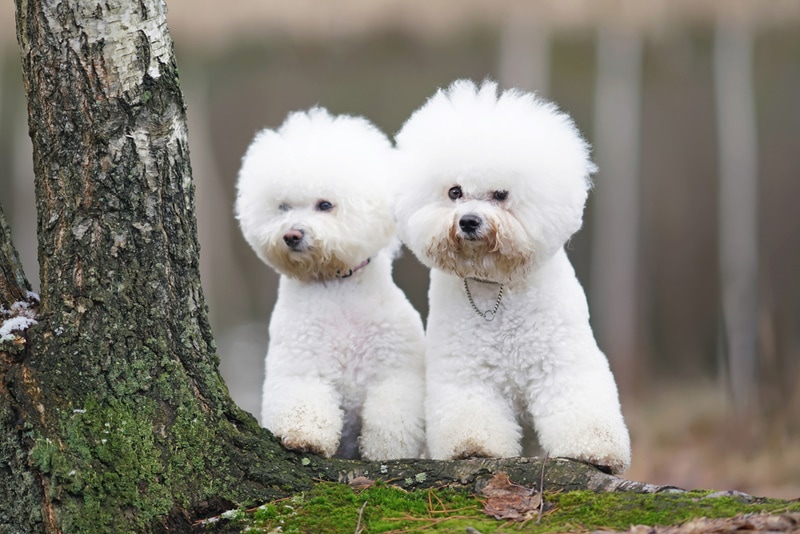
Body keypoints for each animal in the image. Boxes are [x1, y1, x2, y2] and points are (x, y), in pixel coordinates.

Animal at [236, 108, 428, 460]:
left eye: (325, 205)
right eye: (282, 207)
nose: (292, 235)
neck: (336, 284)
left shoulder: (393, 369)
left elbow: (392, 416)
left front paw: (387, 452)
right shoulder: (302, 363)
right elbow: (304, 399)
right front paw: (305, 438)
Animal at [394, 79, 632, 474]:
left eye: (501, 194)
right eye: (454, 192)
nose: (468, 221)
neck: (496, 288)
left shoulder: (562, 361)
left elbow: (576, 401)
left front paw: (592, 449)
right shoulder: (466, 372)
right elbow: (471, 415)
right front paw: (472, 447)